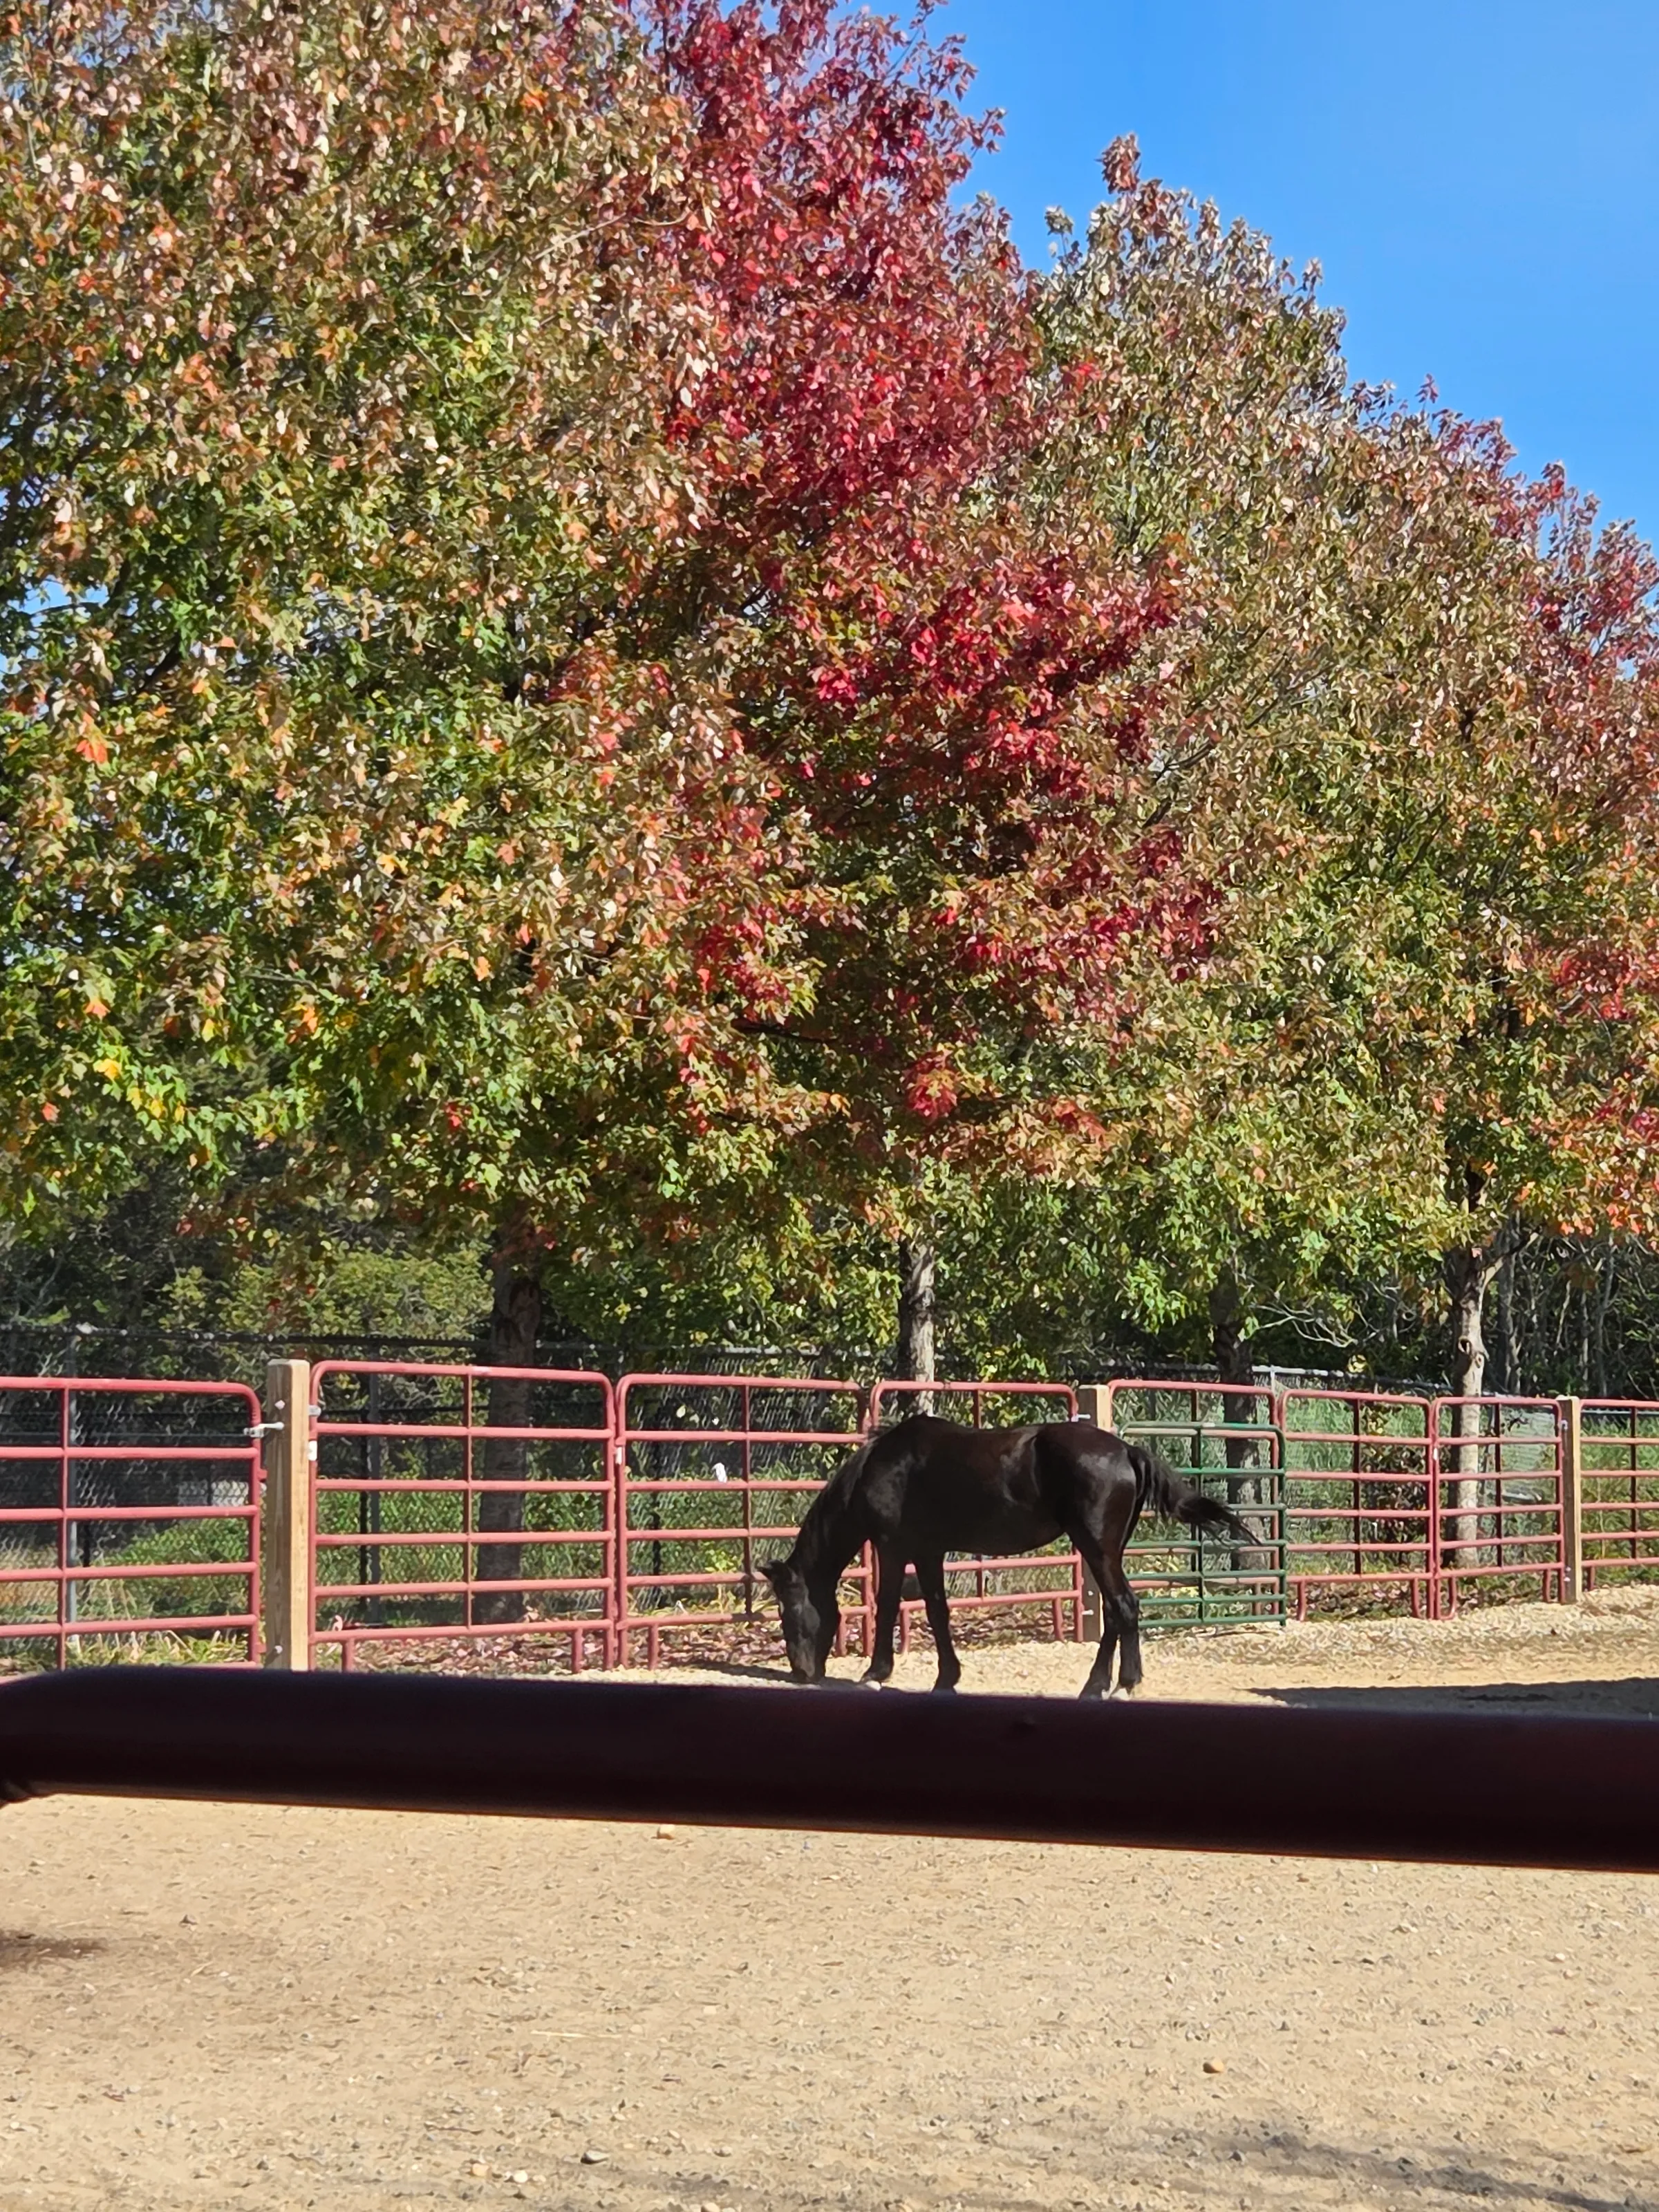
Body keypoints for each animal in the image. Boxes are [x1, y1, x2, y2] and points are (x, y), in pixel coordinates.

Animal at [759, 1414, 1260, 1698]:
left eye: (787, 1611)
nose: (802, 1673)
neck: (884, 1467)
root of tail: (1127, 1451)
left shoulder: (894, 1547)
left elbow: (886, 1608)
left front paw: (876, 1673)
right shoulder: (928, 1551)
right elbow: (938, 1611)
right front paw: (947, 1678)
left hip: (1097, 1549)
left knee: (1123, 1608)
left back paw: (1121, 1685)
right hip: (1107, 1552)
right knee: (1117, 1614)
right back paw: (1099, 1685)